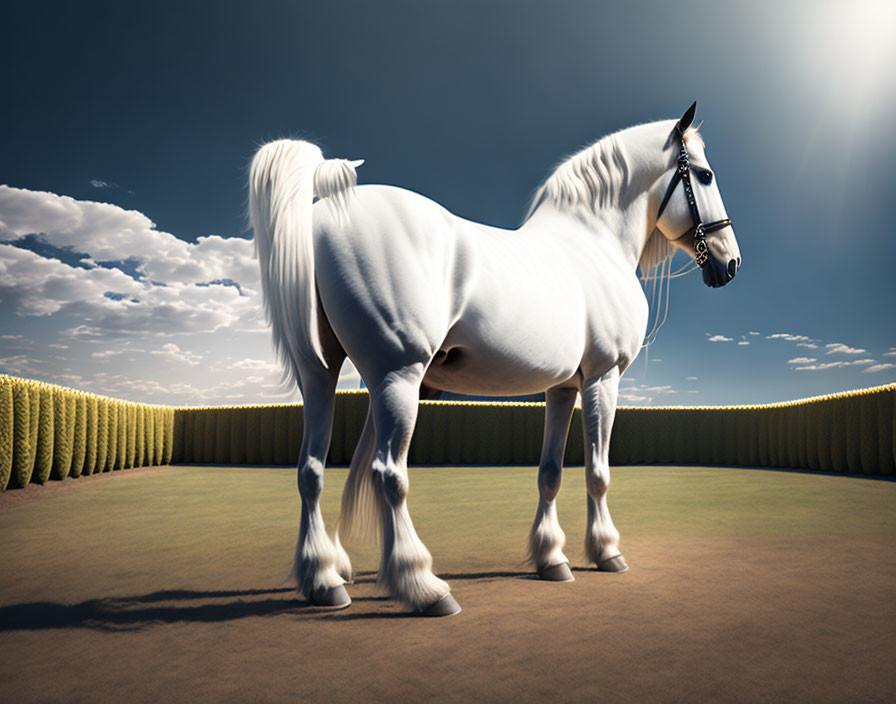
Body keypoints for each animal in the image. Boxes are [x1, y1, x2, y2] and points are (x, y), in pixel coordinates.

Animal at [248, 102, 740, 612]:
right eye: (704, 175)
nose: (729, 263)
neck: (594, 245)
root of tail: (320, 218)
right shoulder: (603, 378)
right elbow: (598, 472)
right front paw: (607, 552)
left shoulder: (562, 388)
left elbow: (550, 472)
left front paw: (552, 561)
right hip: (397, 376)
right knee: (388, 473)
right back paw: (424, 587)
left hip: (320, 375)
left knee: (311, 470)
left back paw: (325, 580)